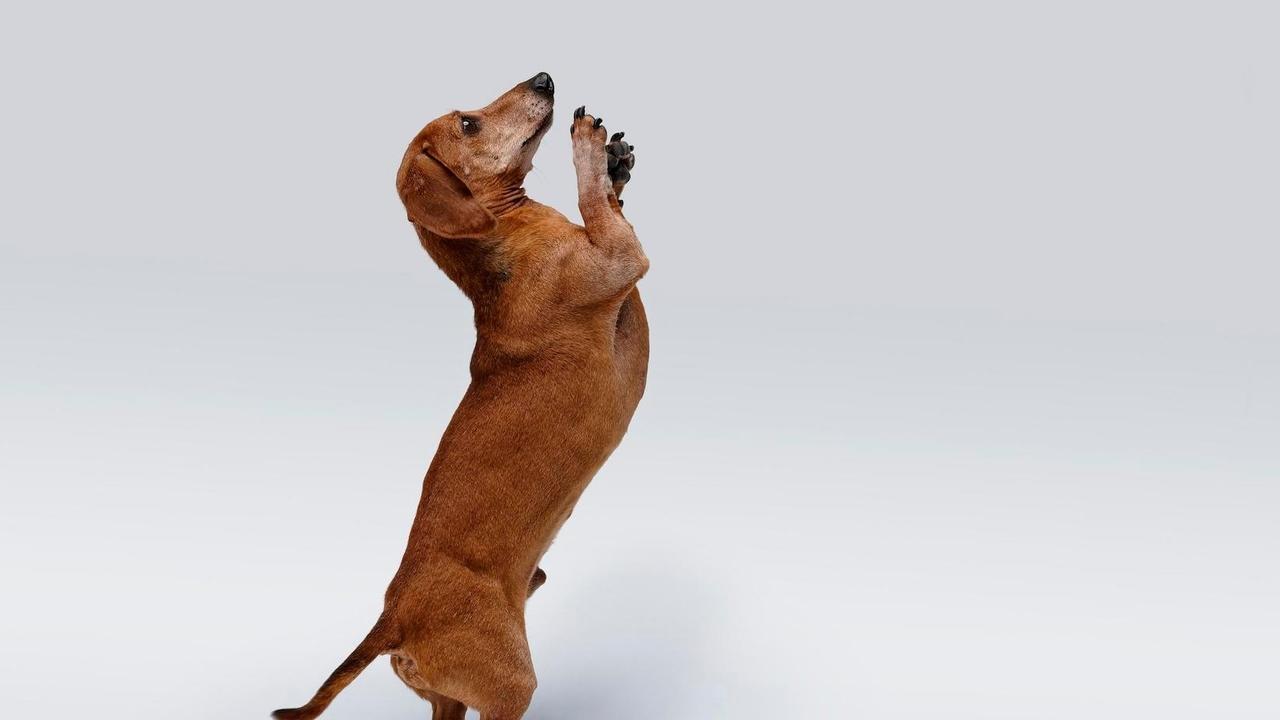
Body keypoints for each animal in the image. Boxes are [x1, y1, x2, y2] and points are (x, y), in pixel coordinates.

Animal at [272, 72, 649, 720]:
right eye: (468, 124)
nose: (544, 78)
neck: (504, 236)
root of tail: (392, 620)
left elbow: (610, 204)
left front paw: (615, 163)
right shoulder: (621, 258)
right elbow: (596, 208)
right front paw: (587, 151)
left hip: (446, 697)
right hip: (510, 684)